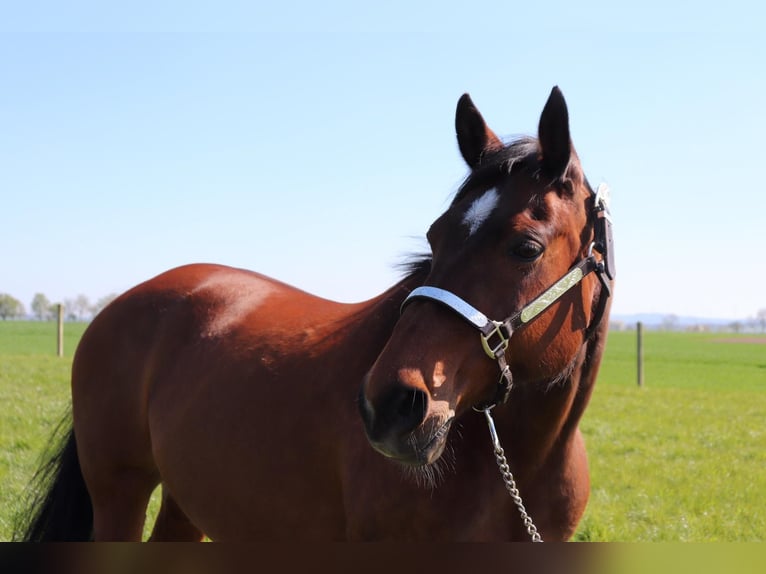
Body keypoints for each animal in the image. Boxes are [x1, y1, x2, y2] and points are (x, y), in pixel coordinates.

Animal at [15, 86, 614, 542]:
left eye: (526, 248)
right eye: (434, 236)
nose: (389, 405)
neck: (522, 464)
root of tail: (123, 303)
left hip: (186, 500)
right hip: (119, 493)